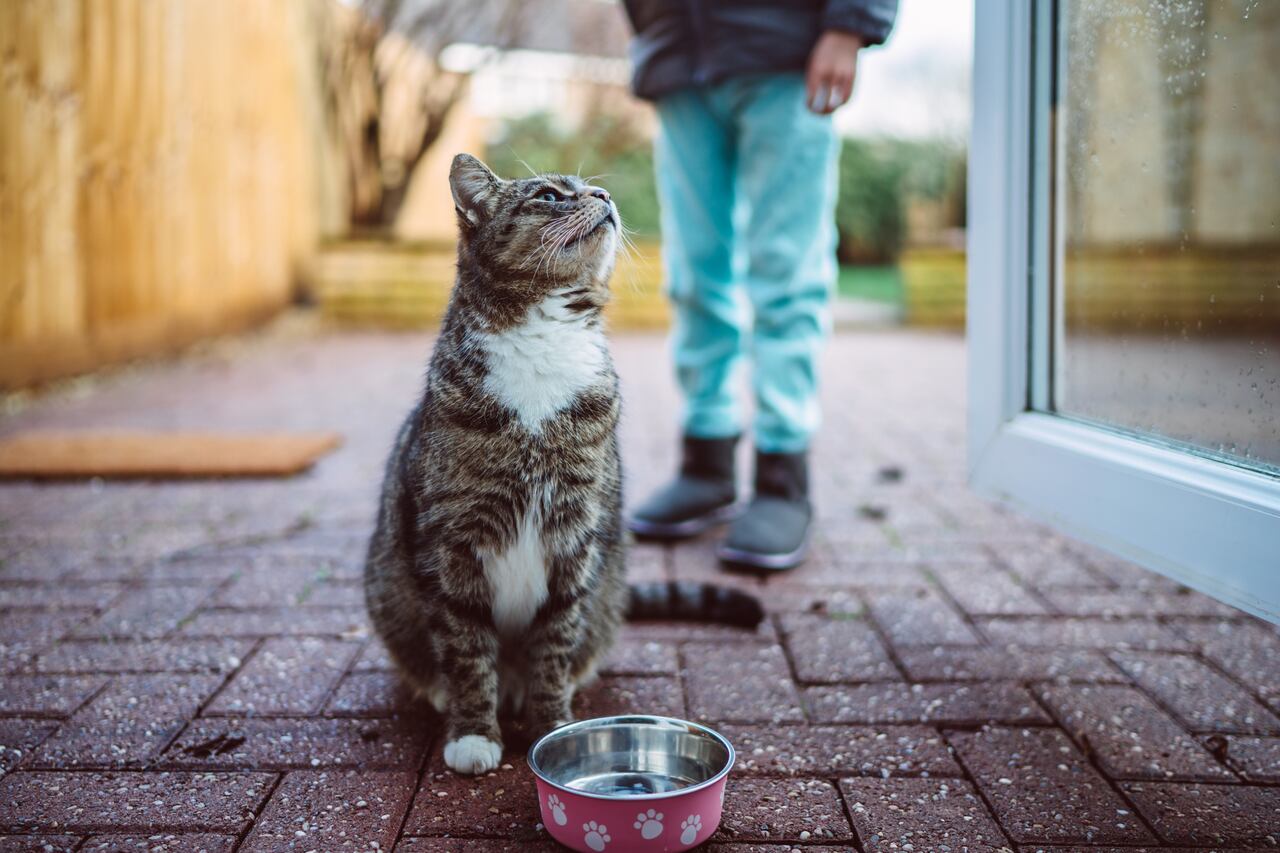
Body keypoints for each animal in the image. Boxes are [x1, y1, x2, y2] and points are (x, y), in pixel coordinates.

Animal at [360, 153, 757, 768]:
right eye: (548, 195)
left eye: (591, 189)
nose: (604, 195)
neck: (542, 337)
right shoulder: (451, 543)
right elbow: (466, 647)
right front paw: (473, 732)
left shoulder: (575, 535)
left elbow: (554, 642)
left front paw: (554, 727)